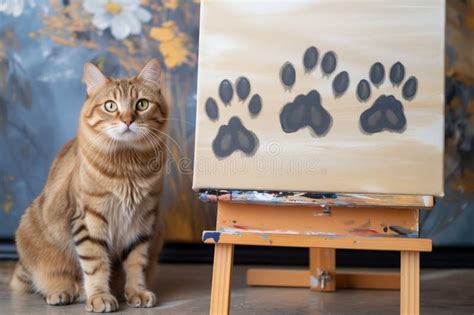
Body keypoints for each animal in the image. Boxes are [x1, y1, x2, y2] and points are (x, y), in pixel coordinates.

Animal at [8, 59, 168, 314]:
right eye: (111, 106)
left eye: (142, 104)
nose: (128, 120)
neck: (128, 167)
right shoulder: (89, 220)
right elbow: (96, 264)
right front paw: (100, 296)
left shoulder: (144, 220)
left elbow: (136, 263)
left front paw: (136, 291)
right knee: (53, 282)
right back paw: (63, 292)